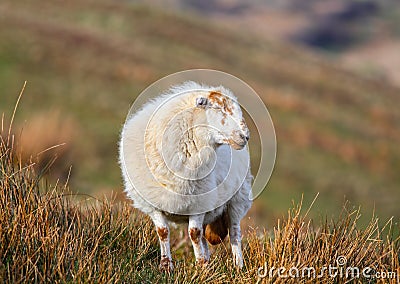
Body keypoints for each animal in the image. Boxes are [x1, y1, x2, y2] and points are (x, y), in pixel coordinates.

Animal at [118, 81, 253, 270]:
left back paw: (237, 265)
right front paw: (166, 266)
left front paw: (201, 265)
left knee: (234, 232)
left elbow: (194, 233)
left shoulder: (199, 203)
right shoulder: (154, 204)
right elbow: (163, 232)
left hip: (237, 200)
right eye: (218, 109)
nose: (245, 136)